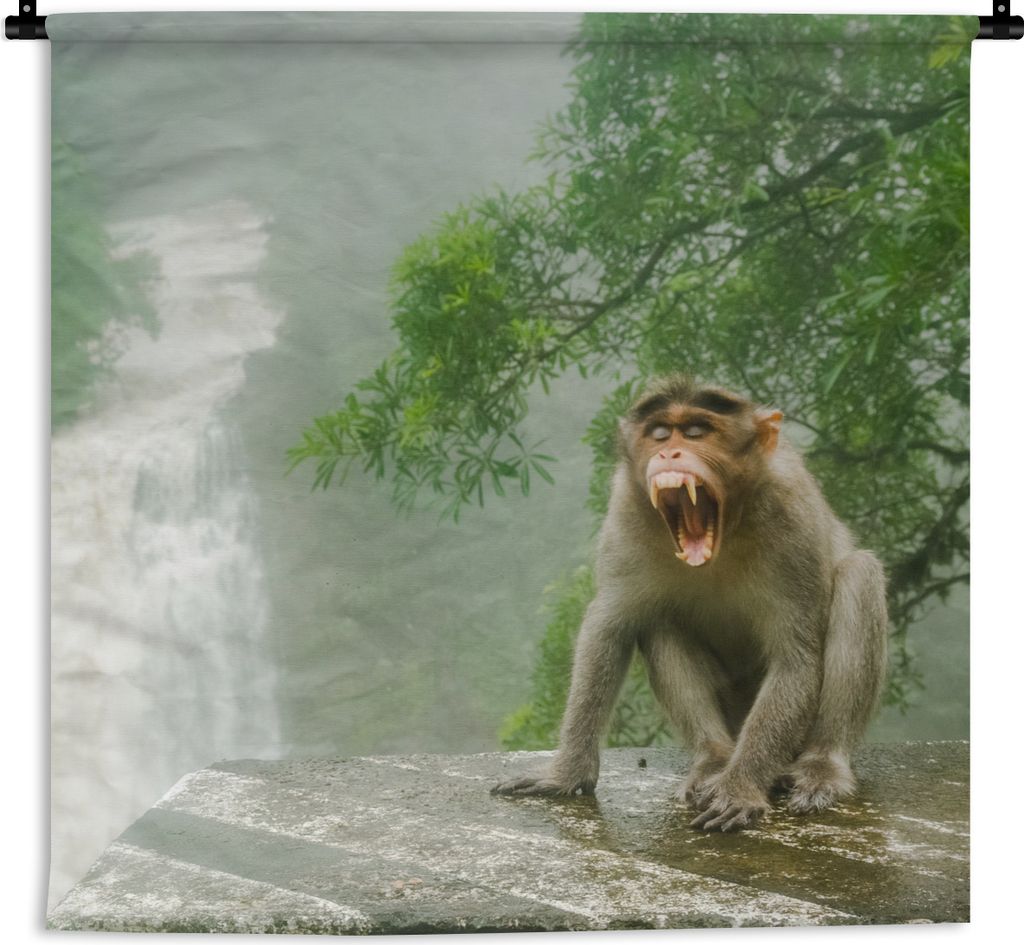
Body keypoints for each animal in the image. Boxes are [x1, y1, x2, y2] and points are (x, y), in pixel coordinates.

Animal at [492, 376, 887, 832]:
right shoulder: (626, 511)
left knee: (860, 575)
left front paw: (740, 787)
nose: (669, 453)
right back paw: (713, 758)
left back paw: (821, 765)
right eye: (660, 434)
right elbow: (609, 627)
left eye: (698, 432)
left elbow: (796, 658)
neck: (729, 526)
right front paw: (567, 773)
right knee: (657, 619)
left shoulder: (794, 520)